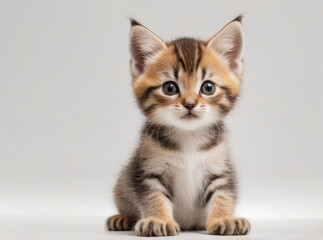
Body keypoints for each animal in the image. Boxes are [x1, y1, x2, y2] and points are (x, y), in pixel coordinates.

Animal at [107, 16, 251, 236]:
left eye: (208, 87)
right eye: (170, 88)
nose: (190, 104)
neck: (188, 137)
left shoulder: (219, 170)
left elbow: (223, 194)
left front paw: (224, 218)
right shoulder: (148, 170)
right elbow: (153, 196)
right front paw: (157, 220)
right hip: (123, 182)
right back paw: (122, 218)